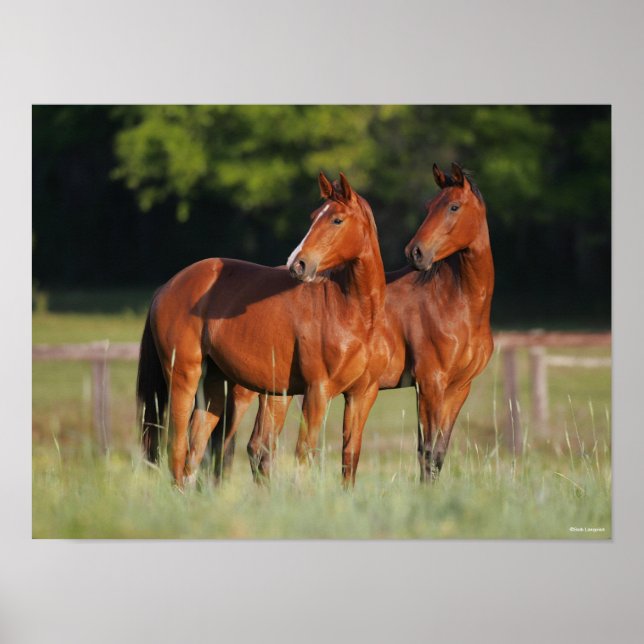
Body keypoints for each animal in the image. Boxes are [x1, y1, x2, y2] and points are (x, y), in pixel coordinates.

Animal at [137, 172, 394, 487]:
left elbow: (350, 458)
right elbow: (304, 454)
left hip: (214, 389)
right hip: (183, 378)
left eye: (337, 220)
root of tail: (167, 286)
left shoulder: (362, 395)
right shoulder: (316, 392)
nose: (298, 264)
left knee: (194, 454)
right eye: (314, 217)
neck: (354, 314)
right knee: (177, 450)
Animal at [211, 162, 494, 482]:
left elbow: (437, 455)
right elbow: (427, 453)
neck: (454, 304)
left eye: (453, 206)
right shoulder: (430, 383)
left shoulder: (458, 388)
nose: (416, 252)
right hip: (244, 391)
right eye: (428, 207)